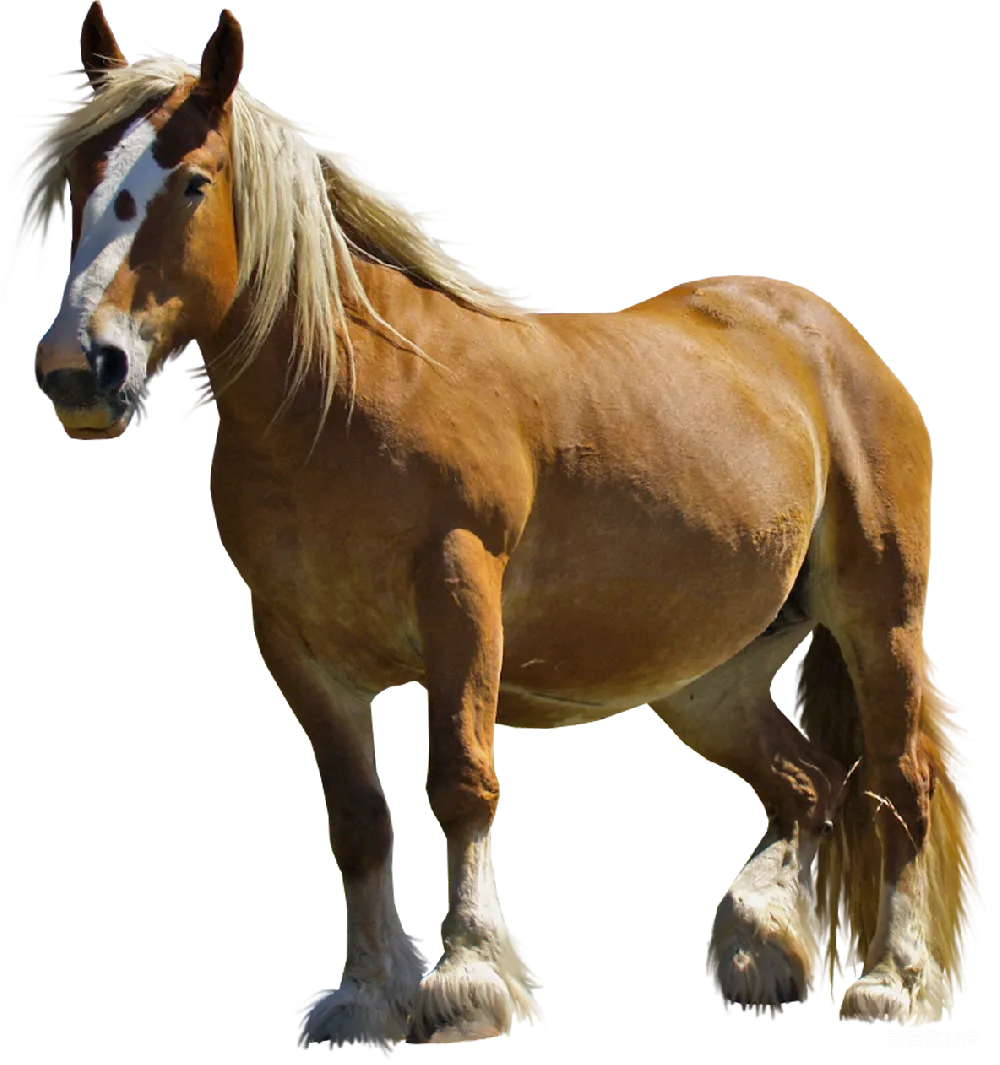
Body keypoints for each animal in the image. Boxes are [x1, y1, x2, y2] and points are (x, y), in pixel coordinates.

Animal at [7, 3, 985, 1050]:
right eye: (82, 182)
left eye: (191, 183)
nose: (79, 368)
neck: (346, 395)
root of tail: (837, 342)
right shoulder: (299, 647)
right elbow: (358, 814)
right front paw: (368, 992)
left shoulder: (459, 593)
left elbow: (462, 779)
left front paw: (467, 979)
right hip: (710, 679)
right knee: (811, 786)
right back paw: (761, 945)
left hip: (878, 619)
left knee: (895, 789)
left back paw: (887, 979)